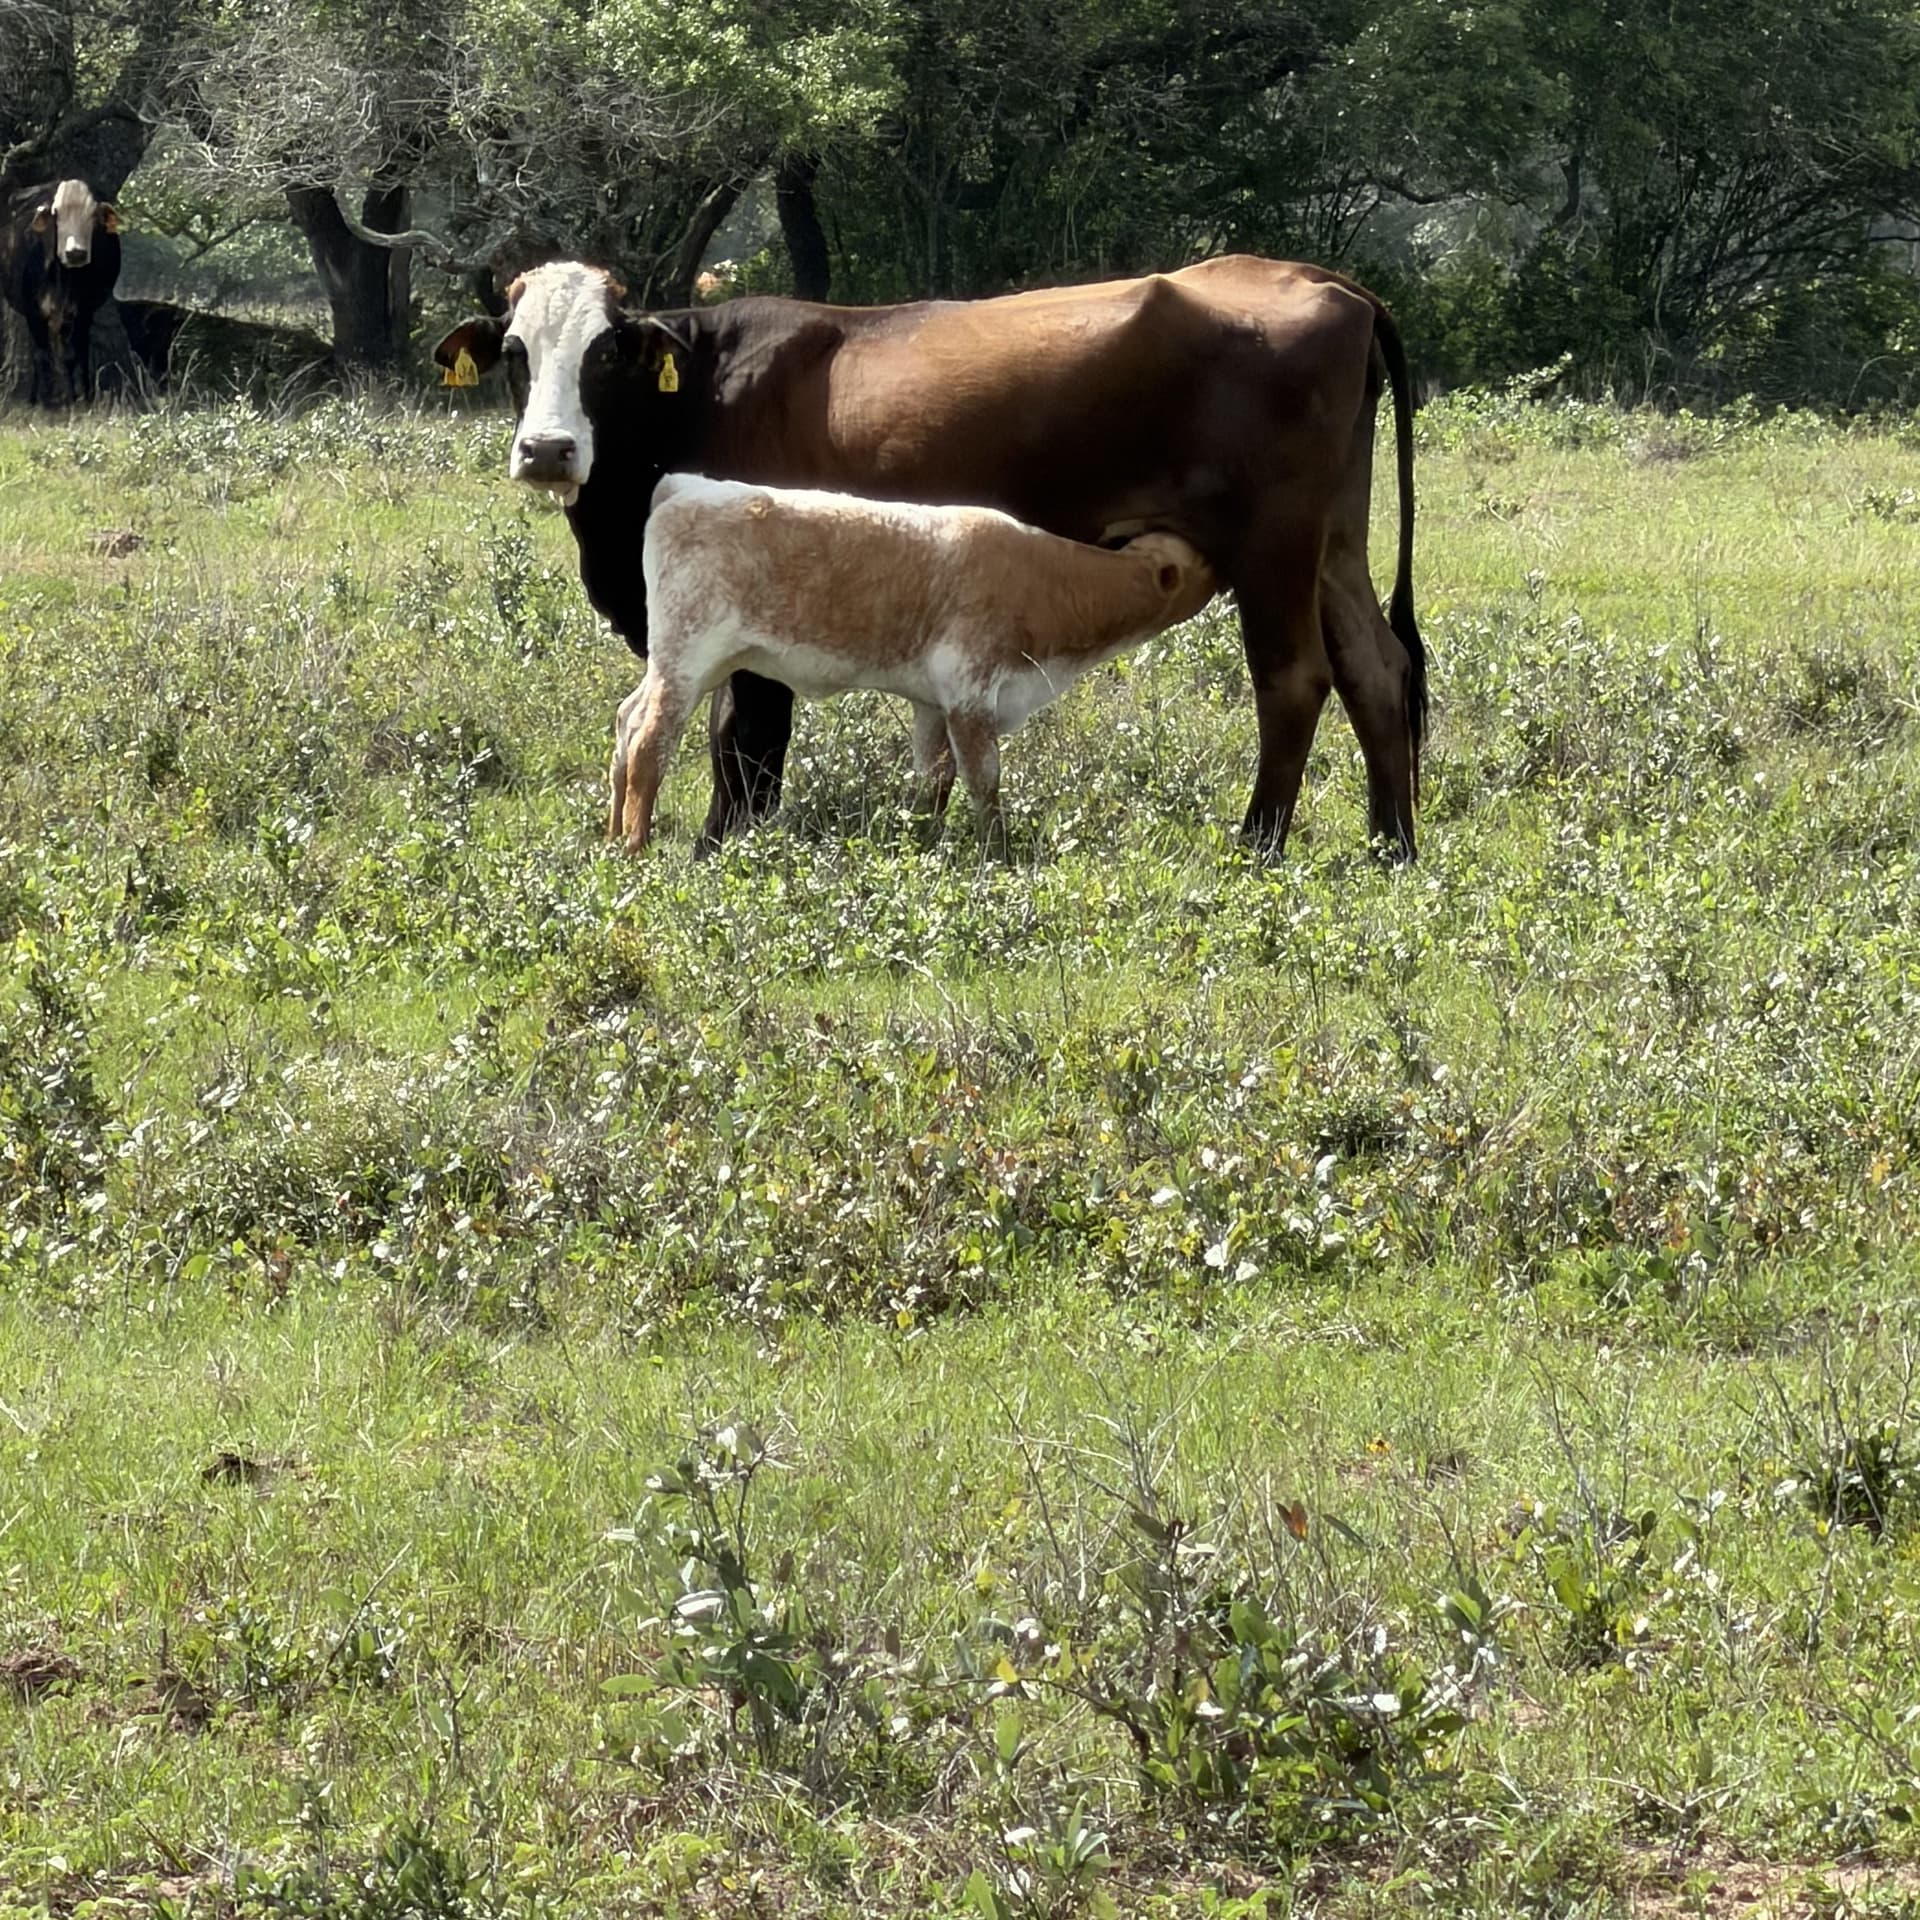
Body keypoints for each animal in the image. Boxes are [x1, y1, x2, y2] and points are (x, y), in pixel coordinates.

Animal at [0, 178, 122, 406]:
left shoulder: (83, 311)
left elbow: (75, 354)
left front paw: (80, 398)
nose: (75, 253)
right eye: (56, 213)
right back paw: (36, 396)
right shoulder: (33, 311)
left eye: (93, 215)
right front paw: (44, 402)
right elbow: (41, 355)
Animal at [610, 473, 1218, 851]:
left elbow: (933, 779)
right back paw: (638, 844)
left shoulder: (932, 703)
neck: (1044, 582)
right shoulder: (971, 694)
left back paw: (613, 835)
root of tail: (687, 487)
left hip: (689, 663)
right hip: (687, 658)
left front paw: (924, 840)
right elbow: (983, 779)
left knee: (626, 720)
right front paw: (995, 852)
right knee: (649, 741)